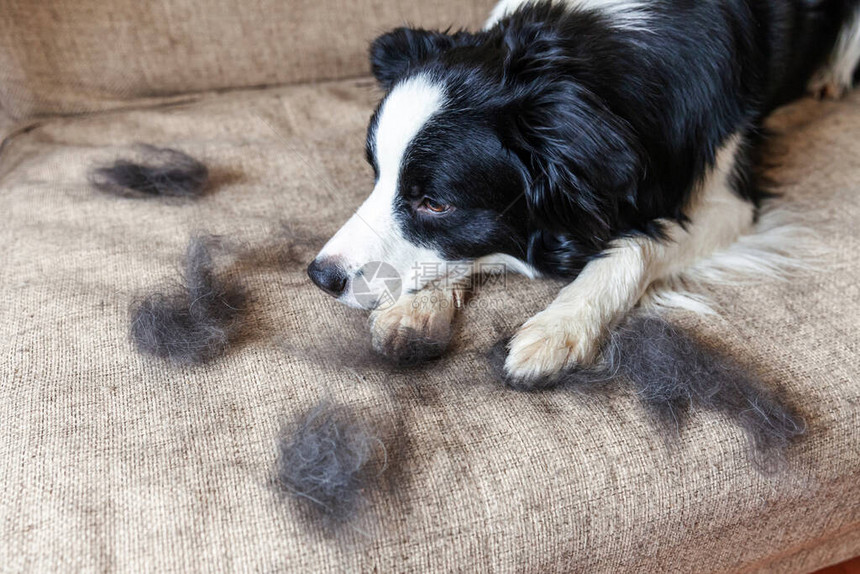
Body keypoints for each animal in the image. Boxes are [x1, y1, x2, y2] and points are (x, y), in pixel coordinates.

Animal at [308, 0, 860, 388]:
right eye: (375, 174)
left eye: (435, 203)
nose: (320, 277)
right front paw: (417, 308)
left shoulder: (730, 196)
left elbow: (636, 243)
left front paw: (558, 330)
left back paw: (828, 77)